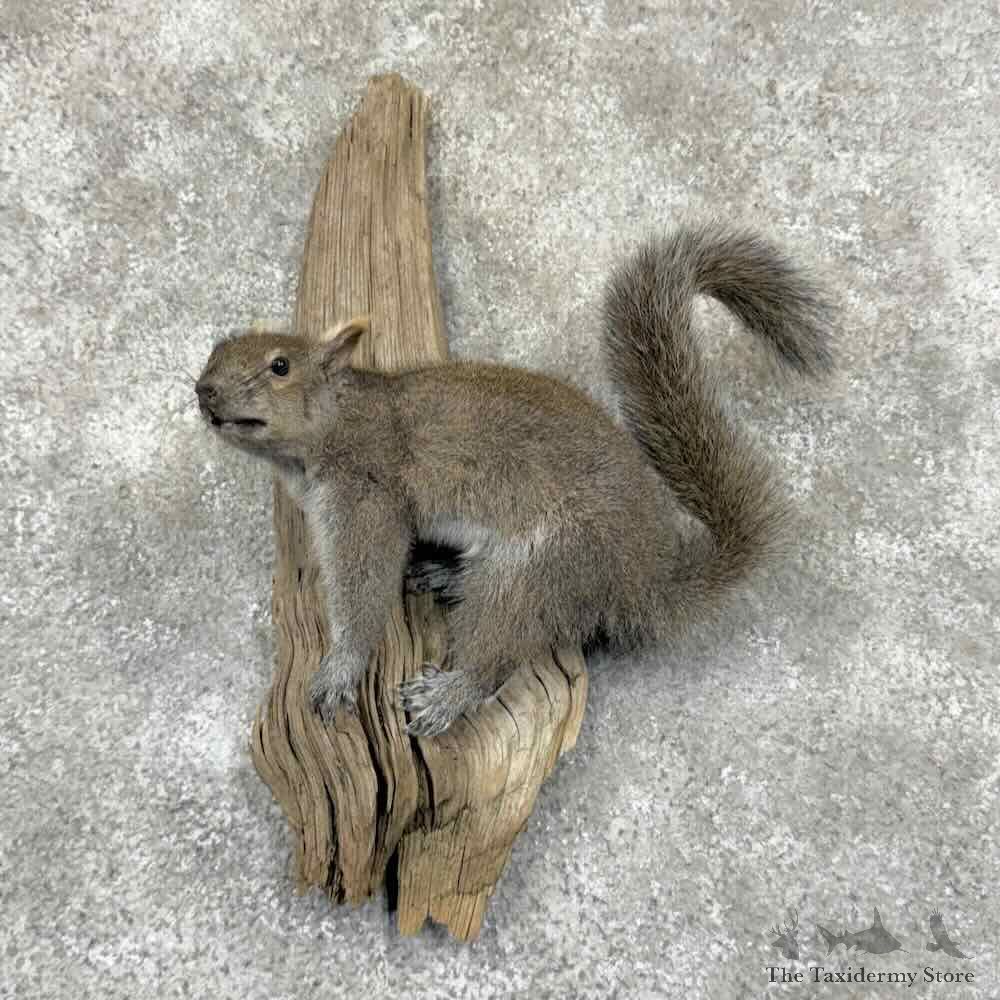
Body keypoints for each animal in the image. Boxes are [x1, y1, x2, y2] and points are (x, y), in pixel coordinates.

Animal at [195, 222, 833, 737]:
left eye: (280, 366)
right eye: (217, 348)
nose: (204, 391)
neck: (342, 420)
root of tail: (641, 579)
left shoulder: (368, 498)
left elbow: (364, 588)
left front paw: (340, 670)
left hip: (535, 571)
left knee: (498, 651)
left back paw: (447, 695)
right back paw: (442, 576)